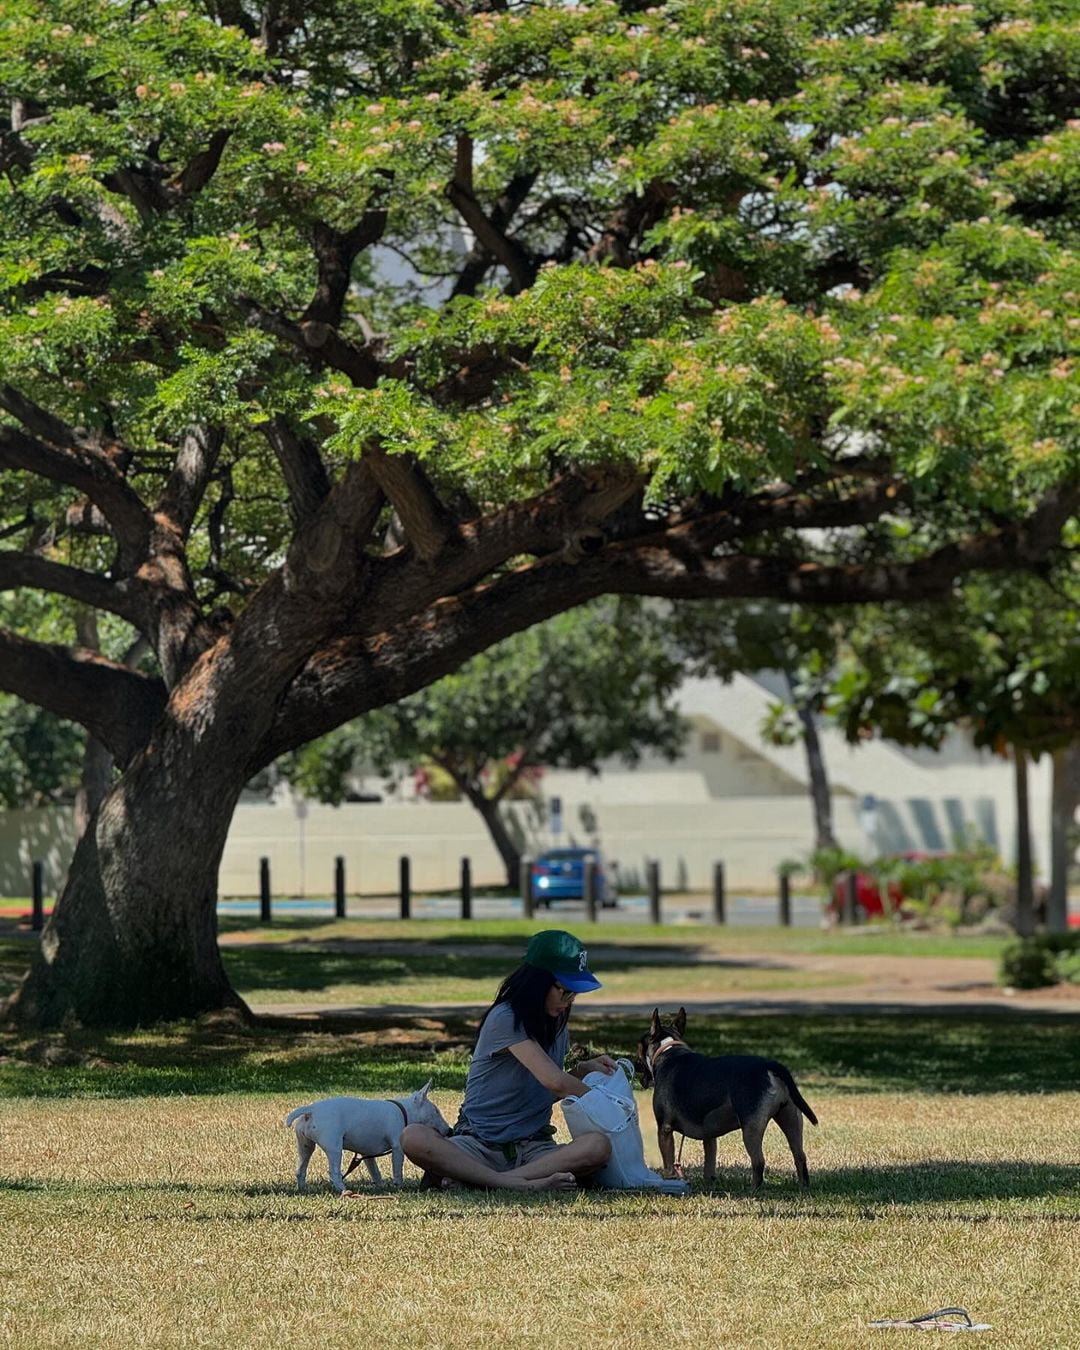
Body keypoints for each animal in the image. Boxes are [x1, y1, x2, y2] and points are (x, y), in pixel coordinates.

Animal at [284, 1085, 448, 1193]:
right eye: (436, 1111)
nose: (450, 1130)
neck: (404, 1111)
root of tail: (311, 1110)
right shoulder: (397, 1147)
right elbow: (397, 1168)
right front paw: (398, 1186)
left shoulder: (366, 1153)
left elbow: (374, 1171)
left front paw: (380, 1186)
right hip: (334, 1147)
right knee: (334, 1171)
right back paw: (343, 1189)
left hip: (305, 1146)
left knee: (300, 1169)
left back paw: (302, 1189)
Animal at [631, 1009, 820, 1188]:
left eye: (639, 1046)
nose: (633, 1062)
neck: (667, 1051)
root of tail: (770, 1065)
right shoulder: (709, 1134)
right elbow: (709, 1161)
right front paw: (709, 1182)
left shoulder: (664, 1129)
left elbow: (668, 1163)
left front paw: (670, 1181)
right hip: (791, 1118)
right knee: (799, 1156)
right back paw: (803, 1187)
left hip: (751, 1126)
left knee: (758, 1161)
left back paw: (752, 1190)